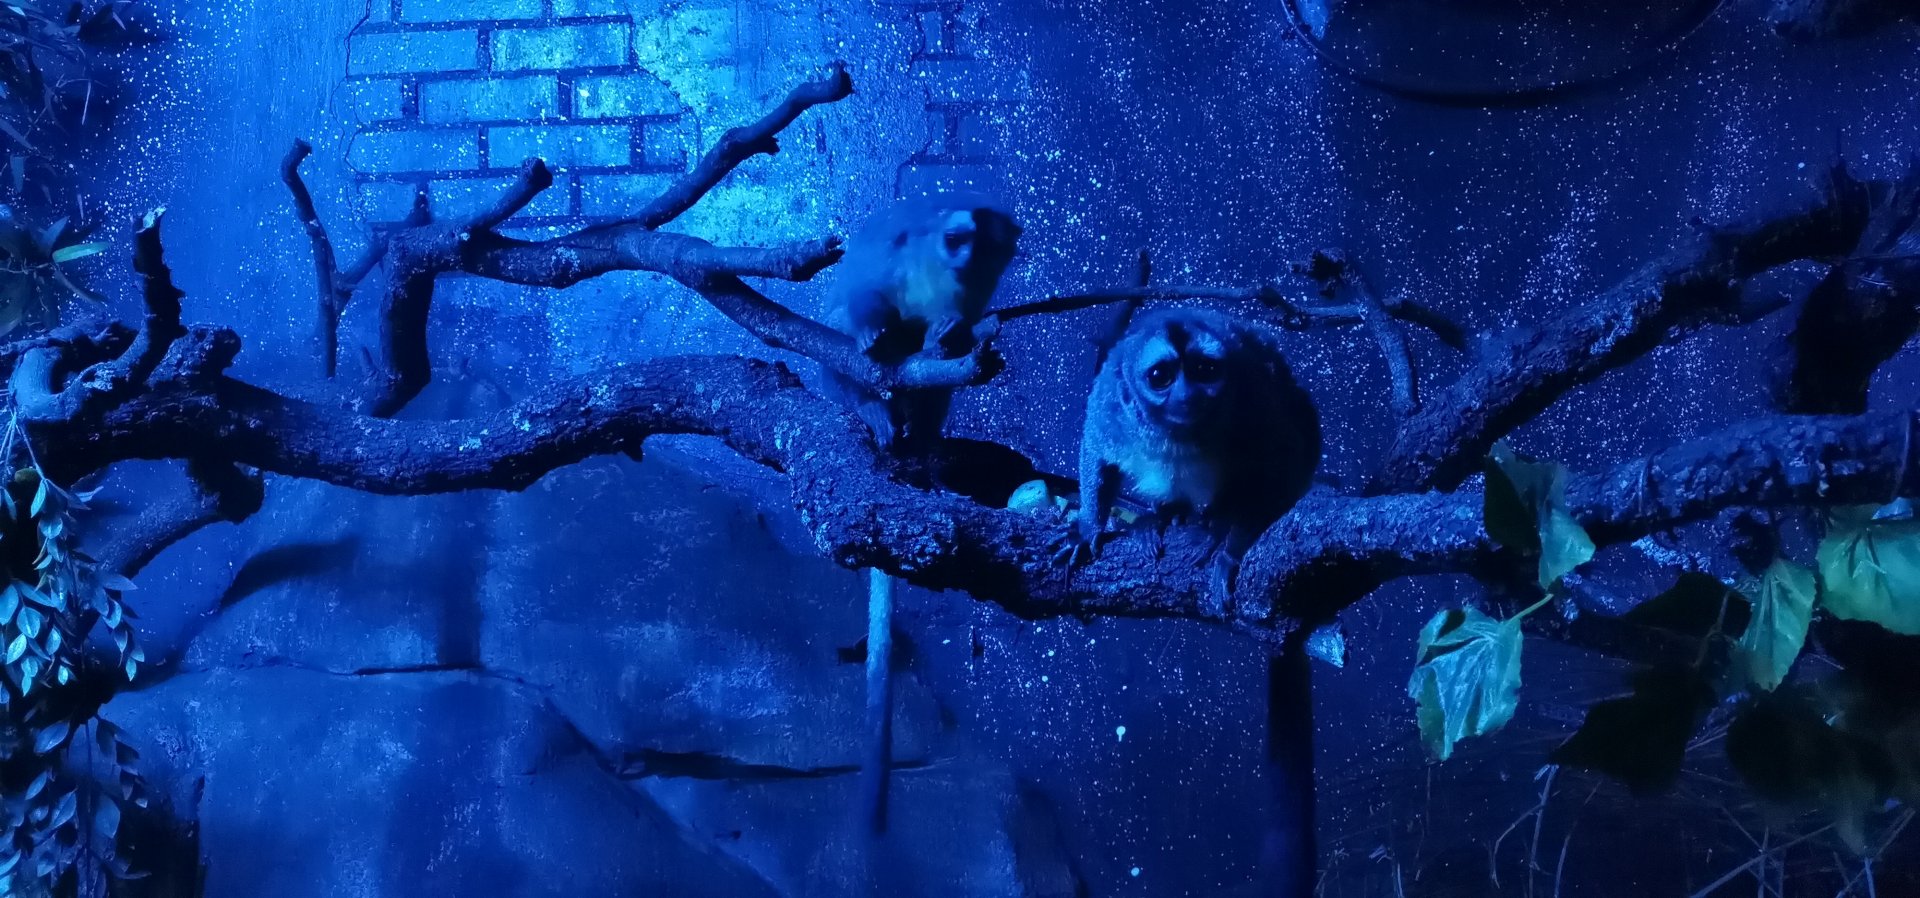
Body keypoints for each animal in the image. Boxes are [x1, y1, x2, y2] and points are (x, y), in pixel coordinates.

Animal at [1055, 307, 1321, 605]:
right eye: (1159, 375)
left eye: (1205, 370)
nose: (1188, 394)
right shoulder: (1111, 400)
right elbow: (1095, 448)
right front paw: (1086, 531)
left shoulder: (1255, 394)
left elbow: (1286, 466)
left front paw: (1229, 552)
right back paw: (1161, 518)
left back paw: (1211, 525)